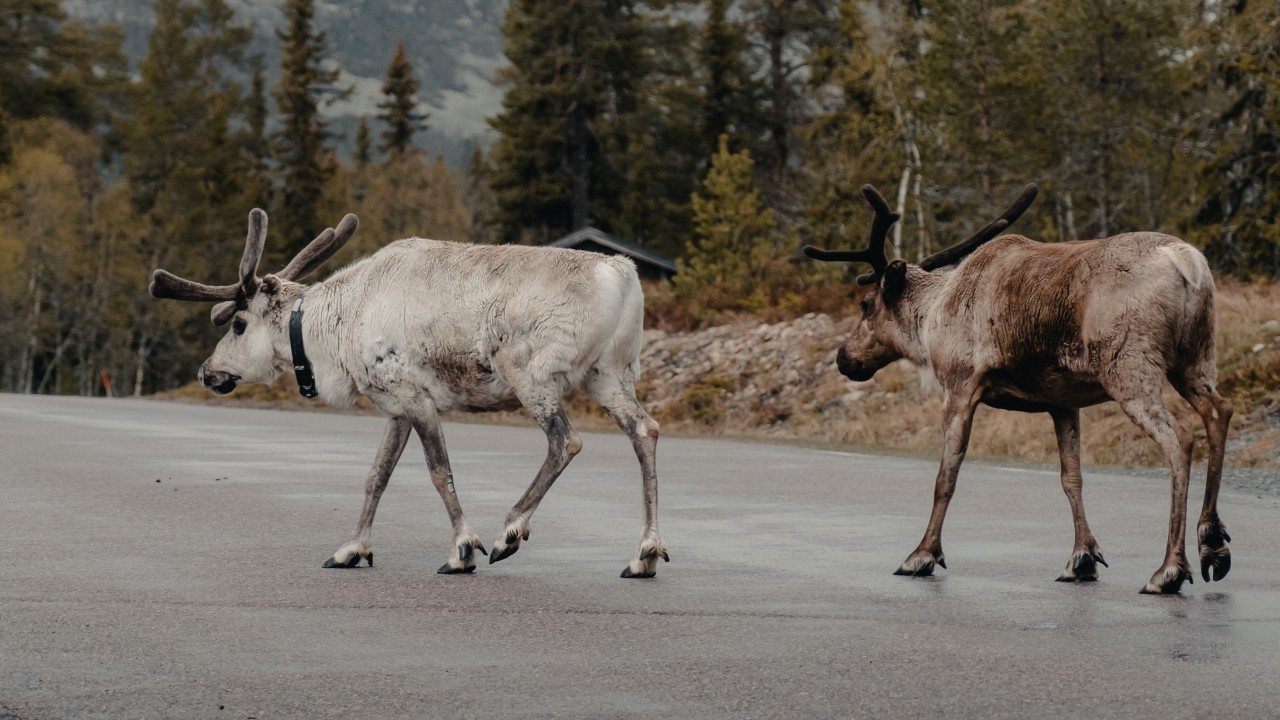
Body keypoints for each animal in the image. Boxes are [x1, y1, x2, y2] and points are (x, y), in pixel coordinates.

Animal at [149, 209, 668, 578]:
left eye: (238, 324)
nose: (207, 372)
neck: (334, 328)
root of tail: (623, 276)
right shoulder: (393, 407)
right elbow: (375, 477)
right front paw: (350, 550)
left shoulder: (414, 394)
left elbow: (439, 472)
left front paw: (463, 550)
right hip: (609, 373)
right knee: (645, 429)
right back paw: (644, 554)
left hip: (531, 374)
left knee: (566, 440)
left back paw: (509, 533)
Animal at [804, 184, 1233, 594]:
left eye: (866, 304)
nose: (844, 358)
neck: (932, 317)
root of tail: (1188, 263)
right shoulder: (1063, 401)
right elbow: (1071, 477)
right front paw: (1081, 558)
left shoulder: (960, 385)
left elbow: (946, 476)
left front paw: (922, 555)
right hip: (1195, 359)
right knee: (1219, 411)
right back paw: (1212, 543)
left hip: (1129, 367)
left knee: (1180, 439)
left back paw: (1169, 570)